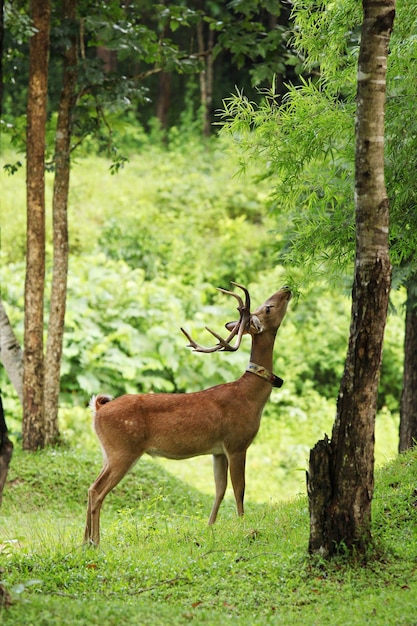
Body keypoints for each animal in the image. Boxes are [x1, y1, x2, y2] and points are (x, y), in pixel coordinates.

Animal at [83, 280, 292, 544]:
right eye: (268, 307)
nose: (287, 288)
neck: (250, 396)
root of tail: (99, 408)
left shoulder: (218, 451)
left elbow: (220, 489)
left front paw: (210, 526)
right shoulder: (237, 442)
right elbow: (240, 488)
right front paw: (243, 524)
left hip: (108, 452)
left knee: (91, 487)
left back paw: (84, 542)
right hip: (122, 449)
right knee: (97, 491)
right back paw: (95, 542)